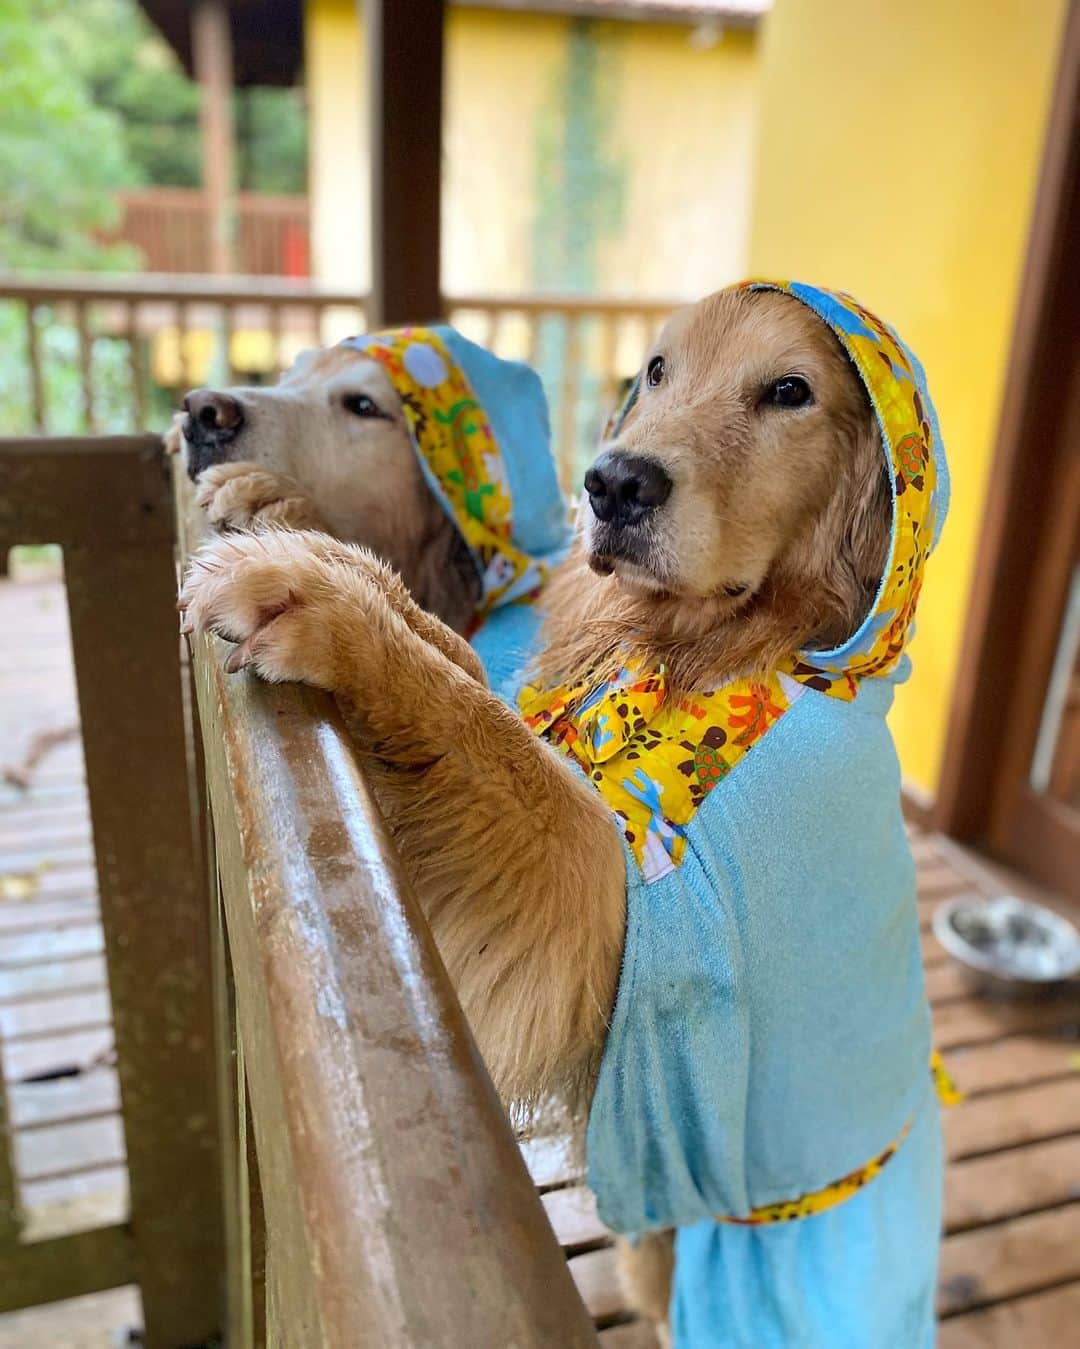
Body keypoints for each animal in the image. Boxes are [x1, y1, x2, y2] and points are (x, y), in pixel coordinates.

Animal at [180, 279, 949, 1343]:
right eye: (657, 371)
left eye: (791, 390)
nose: (614, 483)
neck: (727, 642)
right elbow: (473, 680)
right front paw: (297, 521)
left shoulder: (612, 896)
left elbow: (489, 736)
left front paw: (324, 598)